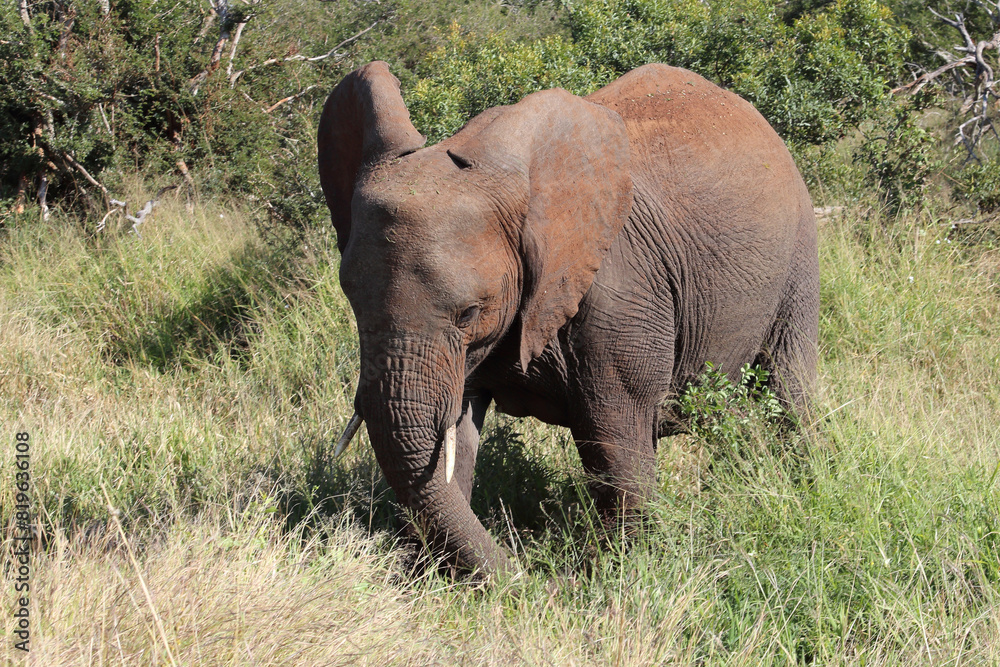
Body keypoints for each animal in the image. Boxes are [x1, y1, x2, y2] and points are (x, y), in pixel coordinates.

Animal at [317, 60, 818, 578]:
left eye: (470, 312)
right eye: (351, 300)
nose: (533, 575)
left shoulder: (620, 293)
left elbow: (615, 437)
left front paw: (619, 573)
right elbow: (458, 436)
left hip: (798, 254)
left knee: (786, 387)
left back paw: (797, 487)